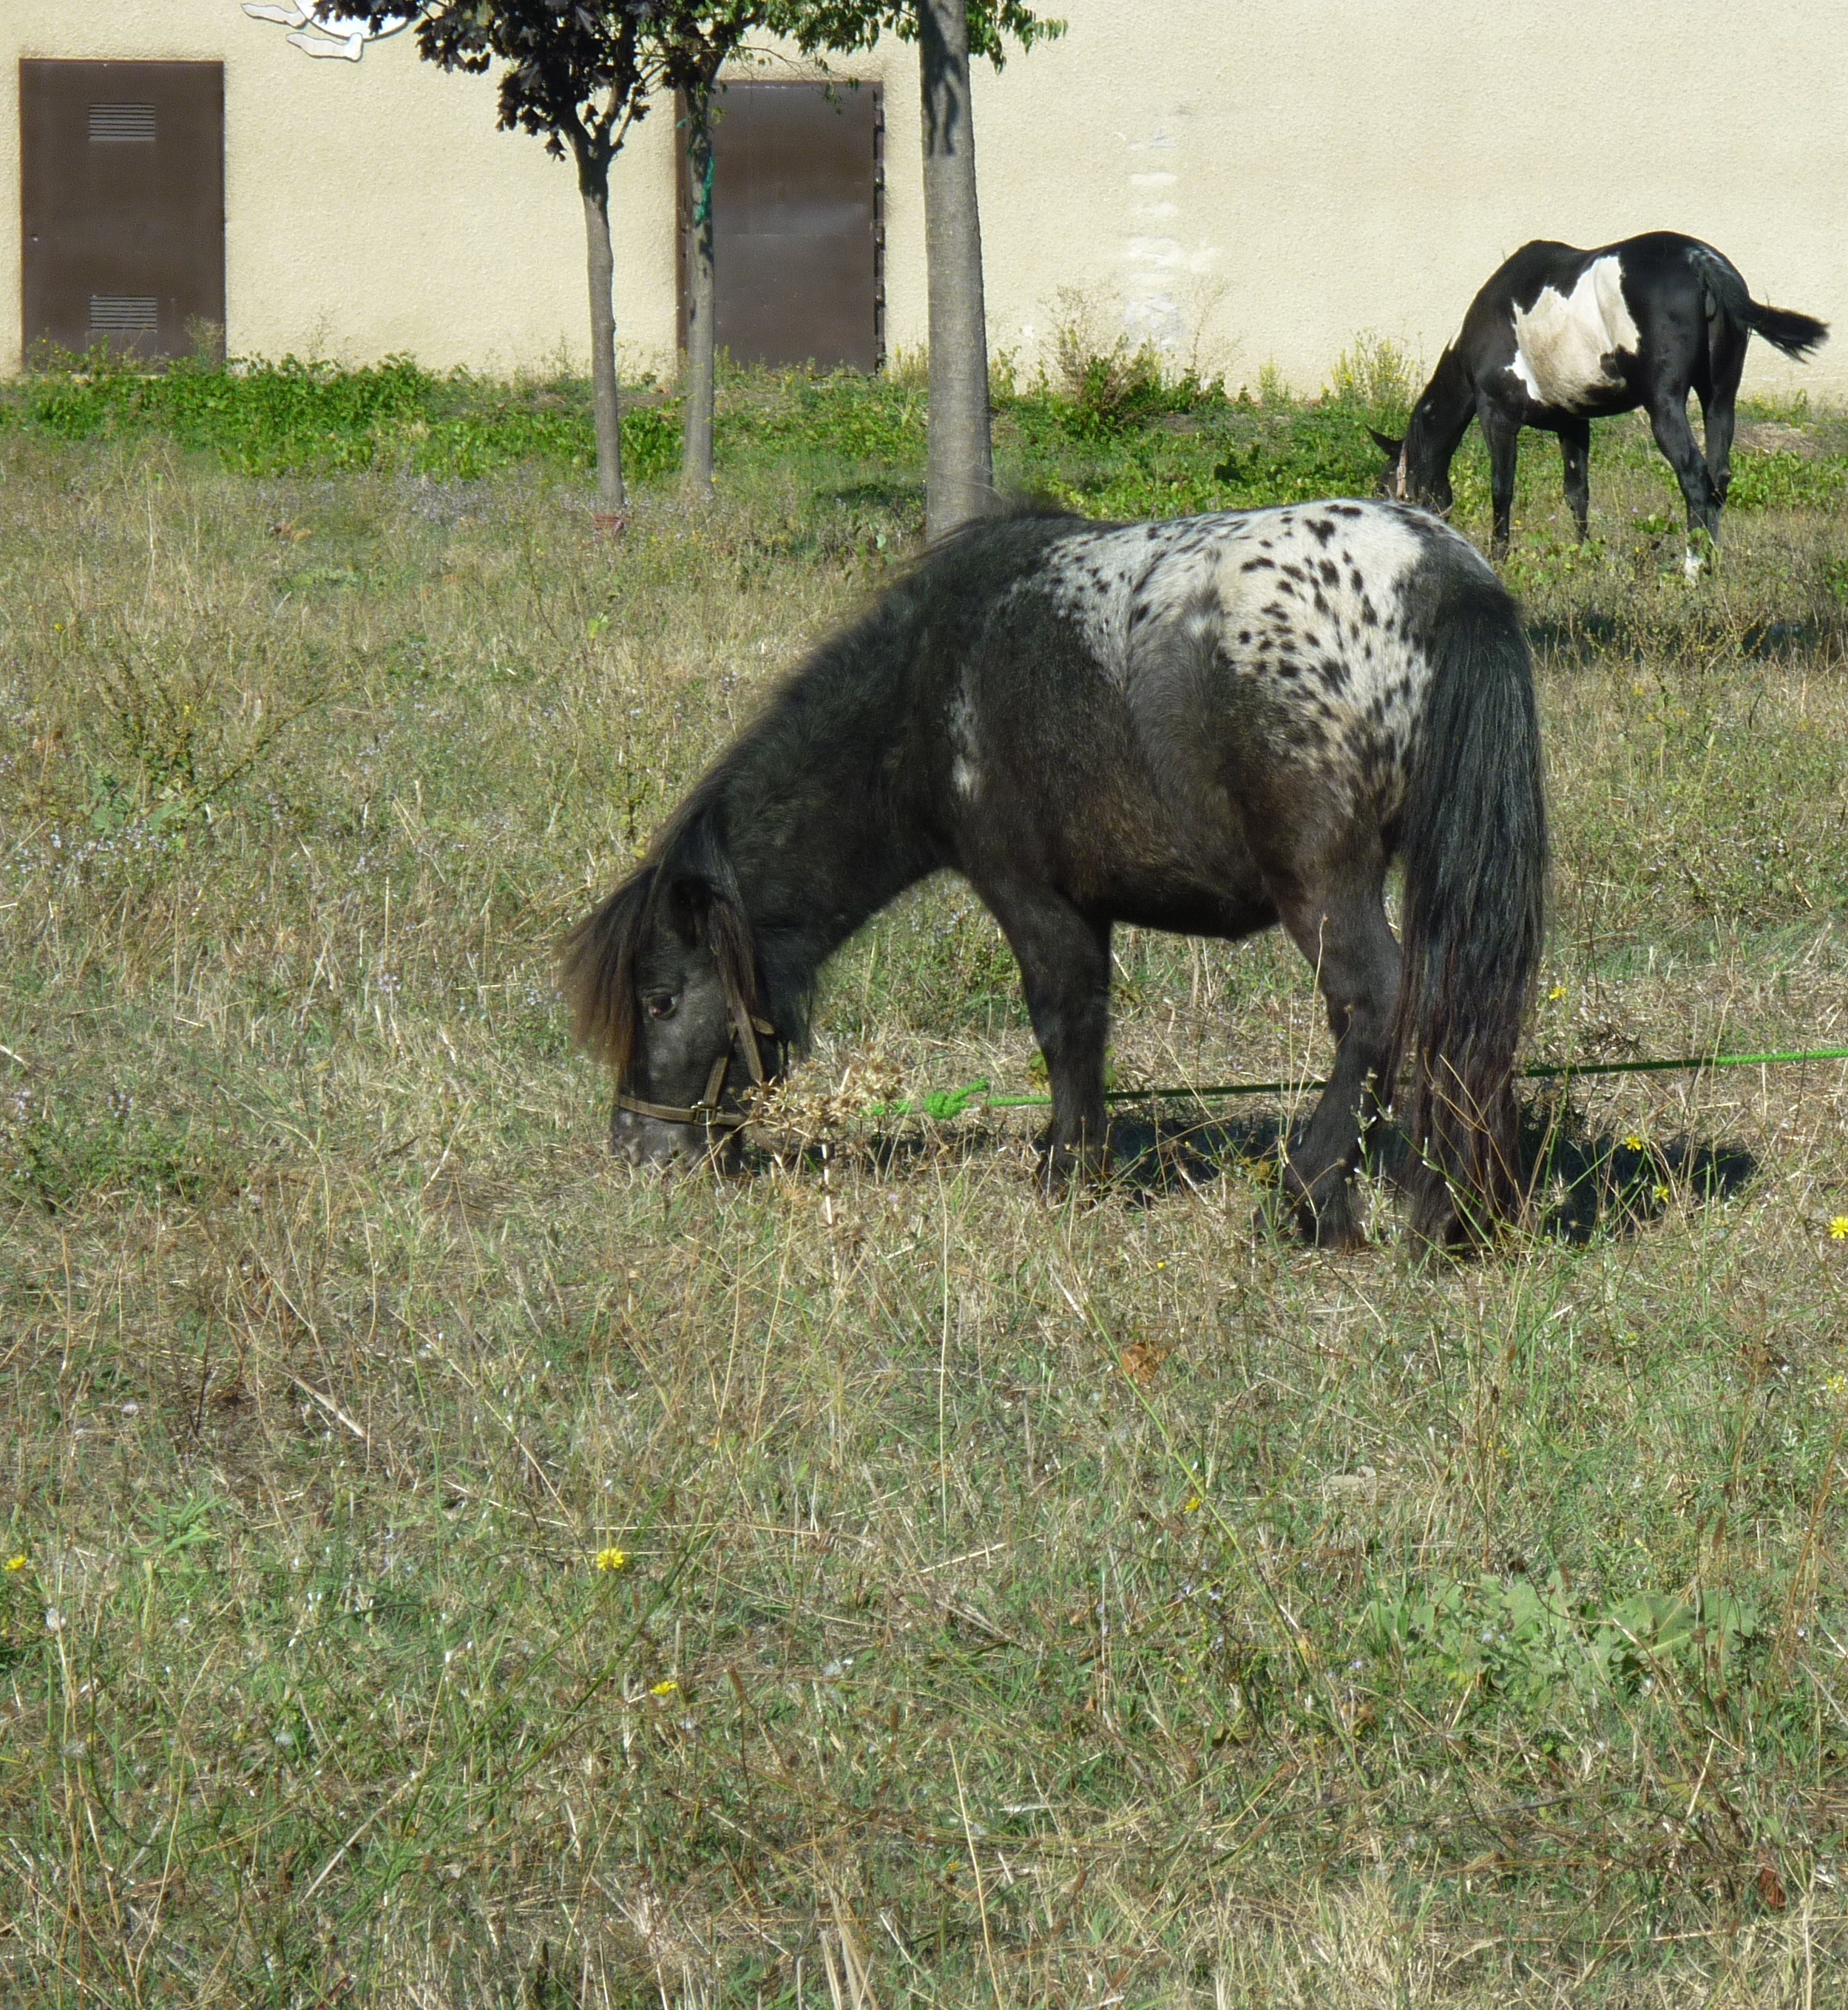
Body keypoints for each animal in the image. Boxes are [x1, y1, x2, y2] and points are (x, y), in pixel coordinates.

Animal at [563, 502, 1544, 1246]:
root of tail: (1439, 575)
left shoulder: (1031, 895)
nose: (638, 1151)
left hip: (1323, 881)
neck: (932, 684)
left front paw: (1067, 1170)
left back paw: (1309, 1197)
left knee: (1374, 1001)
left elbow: (1063, 1022)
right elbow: (1090, 1027)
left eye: (659, 998)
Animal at [1367, 231, 1826, 570]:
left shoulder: (1498, 416)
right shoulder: (1573, 422)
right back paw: (1712, 565)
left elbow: (1502, 488)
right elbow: (1577, 493)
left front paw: (1498, 557)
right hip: (1719, 401)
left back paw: (1692, 570)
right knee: (1719, 477)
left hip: (1665, 408)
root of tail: (1701, 262)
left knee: (1695, 477)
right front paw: (1584, 555)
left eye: (1387, 487)